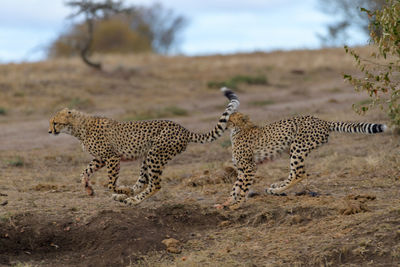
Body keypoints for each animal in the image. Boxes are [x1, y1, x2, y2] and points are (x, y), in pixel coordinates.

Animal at [48, 89, 239, 206]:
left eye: (55, 122)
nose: (50, 131)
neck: (79, 128)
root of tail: (183, 129)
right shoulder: (100, 159)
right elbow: (84, 172)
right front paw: (88, 188)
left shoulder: (112, 157)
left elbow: (110, 182)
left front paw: (119, 188)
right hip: (148, 157)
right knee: (144, 181)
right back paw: (126, 195)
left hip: (155, 155)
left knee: (154, 185)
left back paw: (130, 198)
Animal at [217, 112, 386, 210]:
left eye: (230, 118)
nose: (223, 123)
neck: (240, 129)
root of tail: (322, 121)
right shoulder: (241, 169)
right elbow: (235, 187)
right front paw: (225, 203)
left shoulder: (249, 168)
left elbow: (242, 189)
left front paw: (236, 204)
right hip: (293, 149)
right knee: (293, 173)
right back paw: (275, 188)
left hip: (297, 147)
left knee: (299, 173)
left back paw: (276, 190)